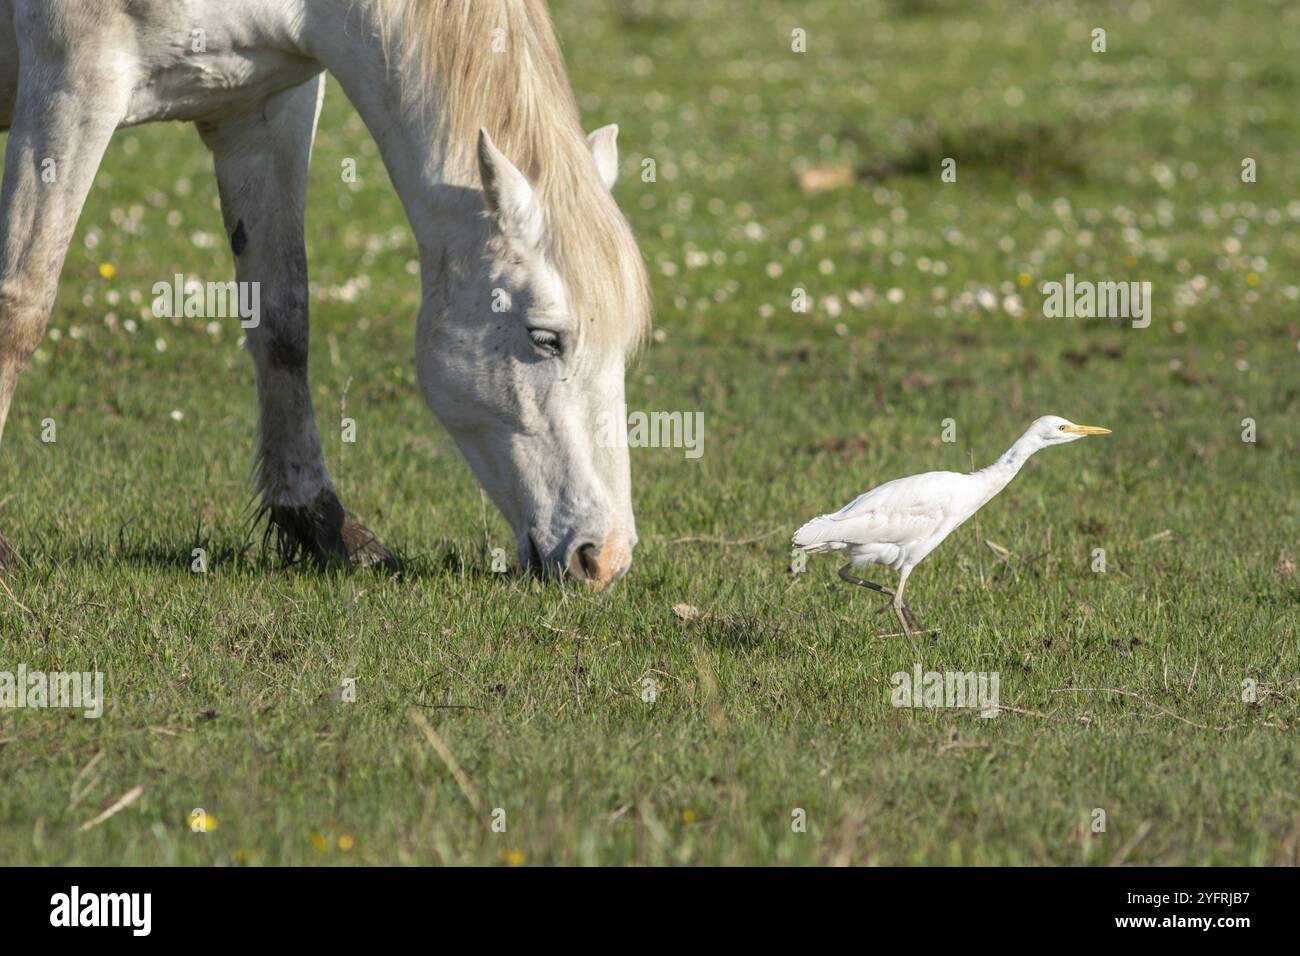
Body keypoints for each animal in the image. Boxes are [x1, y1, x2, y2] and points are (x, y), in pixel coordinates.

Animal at [0, 0, 650, 587]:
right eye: (545, 338)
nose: (604, 559)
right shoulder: (73, 82)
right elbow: (21, 310)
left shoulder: (265, 112)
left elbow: (283, 320)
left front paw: (321, 523)